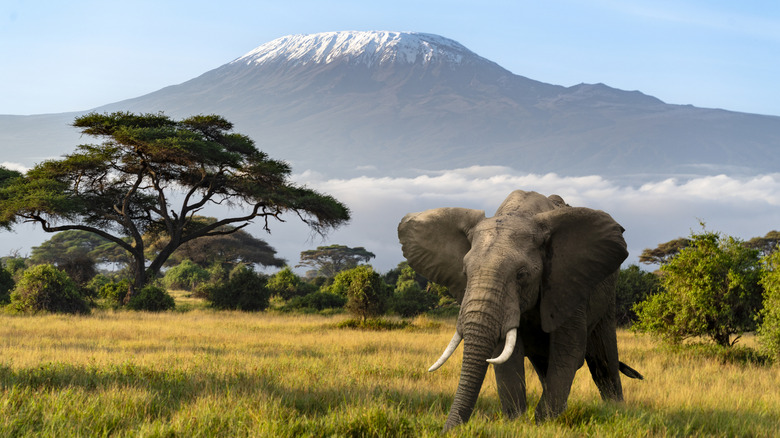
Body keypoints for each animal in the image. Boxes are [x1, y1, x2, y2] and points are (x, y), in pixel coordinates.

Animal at [397, 190, 643, 431]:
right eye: (465, 273)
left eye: (522, 275)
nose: (449, 430)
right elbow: (506, 357)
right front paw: (518, 422)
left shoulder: (566, 282)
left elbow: (568, 352)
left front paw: (544, 423)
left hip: (606, 295)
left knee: (604, 361)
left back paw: (615, 411)